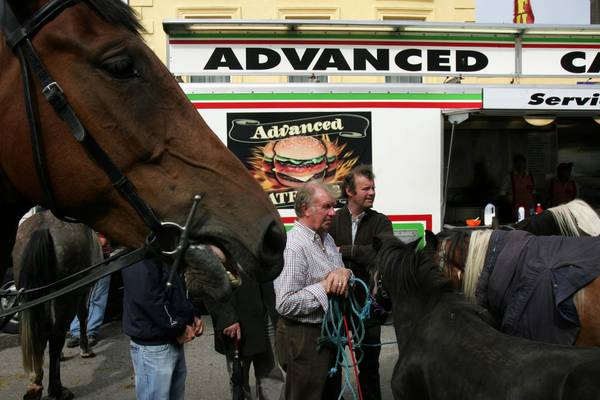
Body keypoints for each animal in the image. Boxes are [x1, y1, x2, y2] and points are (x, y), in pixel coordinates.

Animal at [13, 211, 103, 398]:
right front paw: (85, 349)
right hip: (67, 295)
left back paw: (35, 384)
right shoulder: (83, 291)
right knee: (56, 334)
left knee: (41, 332)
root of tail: (43, 227)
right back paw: (56, 389)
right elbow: (83, 316)